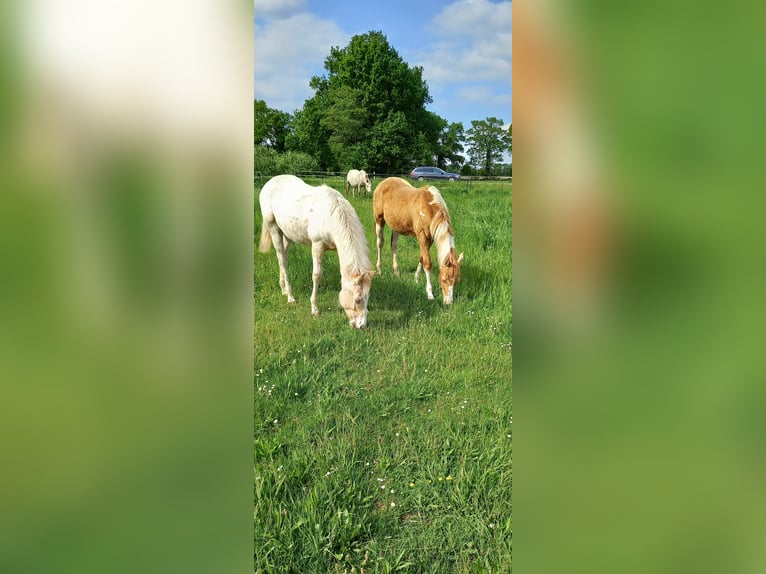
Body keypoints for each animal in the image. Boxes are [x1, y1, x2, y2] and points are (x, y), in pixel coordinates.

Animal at [259, 174, 376, 328]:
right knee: (282, 260)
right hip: (273, 229)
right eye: (357, 299)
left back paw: (283, 289)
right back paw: (290, 296)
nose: (361, 326)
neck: (331, 215)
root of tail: (269, 183)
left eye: (368, 297)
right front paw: (314, 309)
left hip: (287, 234)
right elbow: (317, 275)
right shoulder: (317, 245)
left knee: (282, 257)